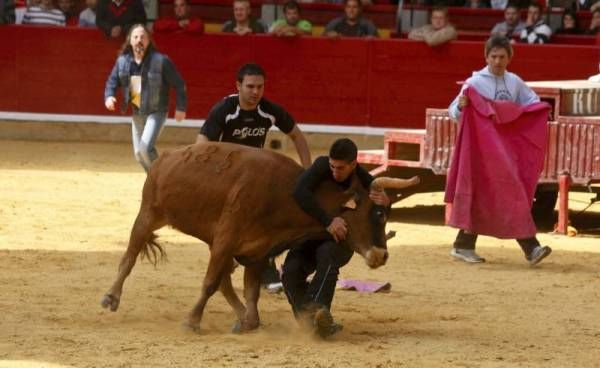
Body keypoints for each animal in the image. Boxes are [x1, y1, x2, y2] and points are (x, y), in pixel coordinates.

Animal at [101, 142, 418, 332]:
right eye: (379, 213)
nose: (382, 255)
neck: (284, 196)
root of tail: (165, 157)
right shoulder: (227, 238)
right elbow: (209, 282)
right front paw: (192, 321)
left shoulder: (255, 251)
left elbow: (249, 288)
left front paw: (250, 320)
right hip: (148, 213)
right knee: (129, 257)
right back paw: (110, 297)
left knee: (226, 281)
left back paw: (242, 315)